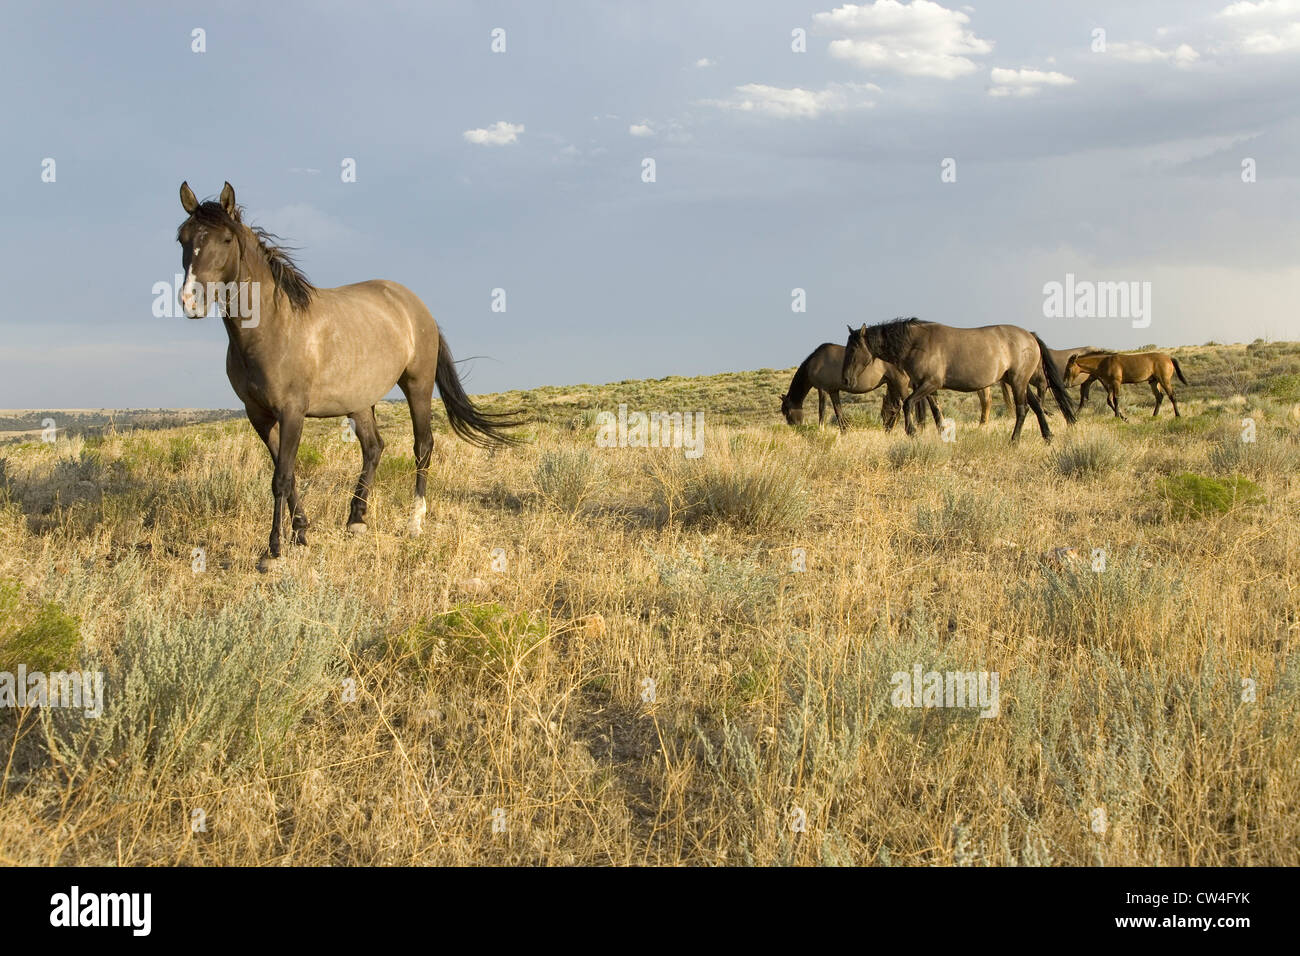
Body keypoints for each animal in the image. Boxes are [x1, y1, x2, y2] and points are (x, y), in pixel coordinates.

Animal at [176, 181, 523, 571]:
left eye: (225, 240)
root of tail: (415, 305)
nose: (190, 301)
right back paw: (356, 519)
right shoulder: (259, 416)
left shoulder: (292, 412)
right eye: (182, 239)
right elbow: (288, 474)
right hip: (359, 402)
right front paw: (301, 533)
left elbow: (281, 478)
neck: (273, 327)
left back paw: (414, 522)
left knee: (422, 446)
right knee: (374, 448)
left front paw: (273, 550)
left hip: (417, 385)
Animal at [842, 318, 1077, 442]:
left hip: (1018, 381)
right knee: (1036, 407)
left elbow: (908, 403)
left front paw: (912, 432)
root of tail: (1030, 336)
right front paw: (941, 433)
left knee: (1022, 409)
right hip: (1017, 382)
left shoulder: (930, 384)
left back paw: (1014, 441)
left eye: (853, 349)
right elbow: (935, 410)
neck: (917, 343)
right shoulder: (925, 386)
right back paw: (1047, 436)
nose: (845, 379)